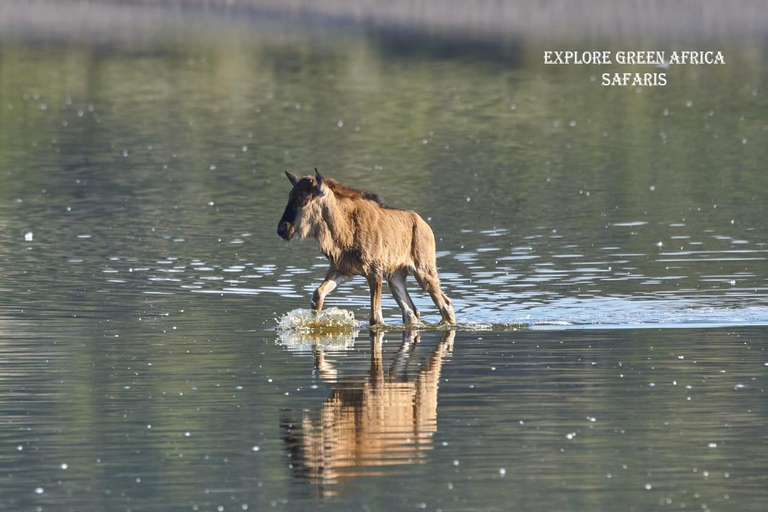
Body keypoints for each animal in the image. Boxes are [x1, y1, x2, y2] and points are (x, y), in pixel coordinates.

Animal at [276, 170, 456, 326]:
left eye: (304, 199)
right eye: (290, 196)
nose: (282, 229)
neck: (342, 229)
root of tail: (425, 225)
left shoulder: (374, 272)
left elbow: (376, 318)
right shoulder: (340, 269)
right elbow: (317, 295)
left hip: (424, 273)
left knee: (445, 304)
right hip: (396, 277)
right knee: (411, 311)